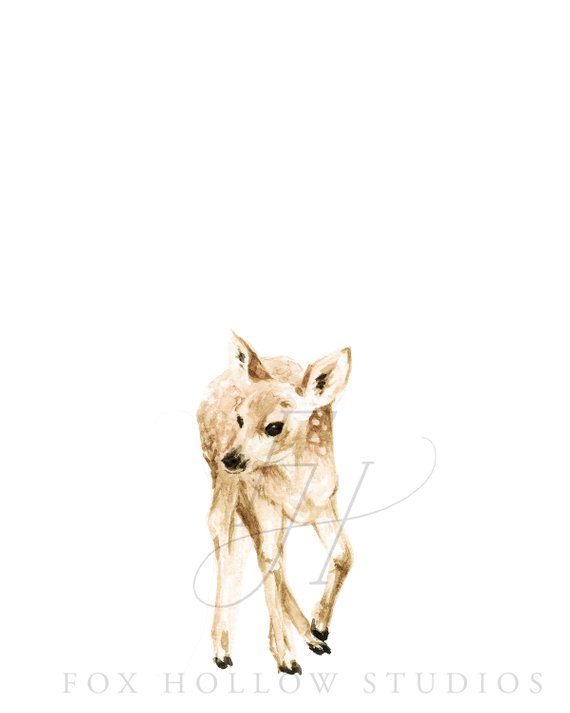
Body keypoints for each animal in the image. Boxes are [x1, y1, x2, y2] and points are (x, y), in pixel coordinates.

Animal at [197, 332, 353, 675]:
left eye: (274, 426)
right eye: (240, 419)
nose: (232, 458)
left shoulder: (326, 501)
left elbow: (343, 555)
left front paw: (319, 625)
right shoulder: (262, 500)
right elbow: (269, 562)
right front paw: (286, 658)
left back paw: (312, 638)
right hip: (223, 481)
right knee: (221, 530)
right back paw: (222, 649)